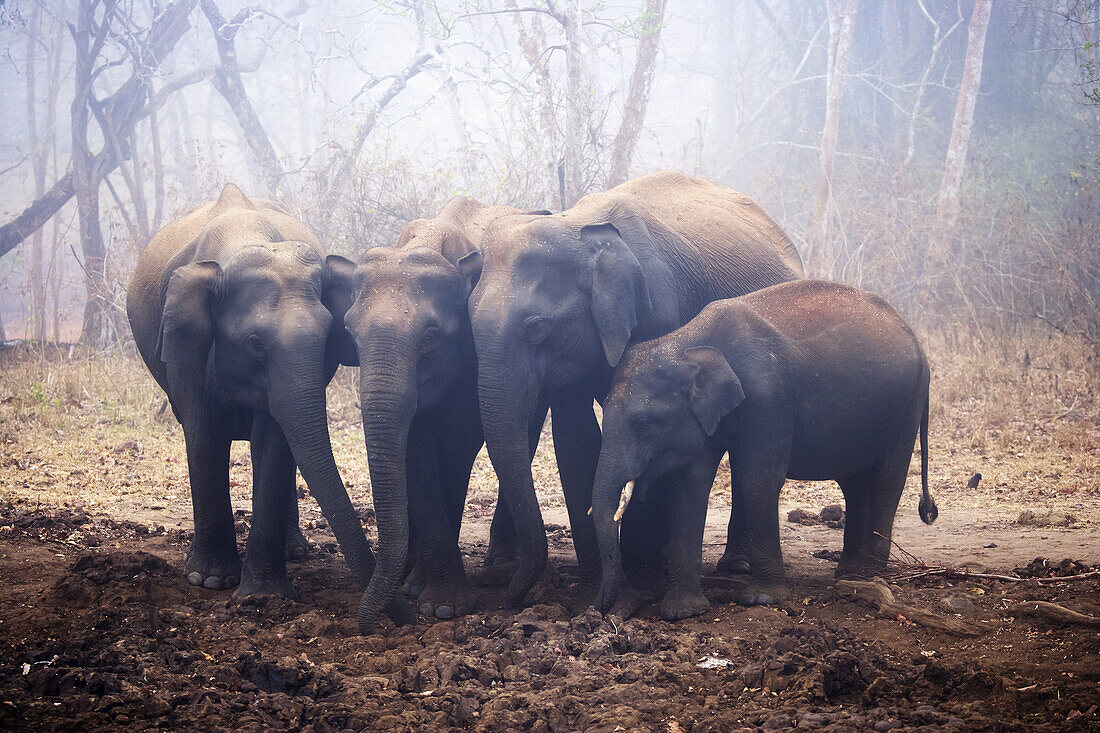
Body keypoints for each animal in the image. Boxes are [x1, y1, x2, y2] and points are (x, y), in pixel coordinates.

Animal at [127, 182, 413, 620]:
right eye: (255, 344)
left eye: (328, 339)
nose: (403, 617)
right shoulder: (186, 347)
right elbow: (203, 435)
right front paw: (209, 581)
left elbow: (276, 443)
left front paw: (263, 596)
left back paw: (295, 551)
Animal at [343, 197, 550, 629]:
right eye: (349, 334)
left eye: (430, 337)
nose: (380, 624)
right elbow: (417, 455)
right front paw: (429, 600)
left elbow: (456, 450)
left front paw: (442, 608)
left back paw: (499, 568)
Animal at [459, 168, 805, 607]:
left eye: (536, 328)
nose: (513, 597)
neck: (577, 227)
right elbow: (576, 440)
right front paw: (592, 595)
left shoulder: (663, 311)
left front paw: (642, 588)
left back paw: (735, 566)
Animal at [594, 278, 937, 616]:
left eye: (643, 423)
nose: (602, 610)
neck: (689, 343)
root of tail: (914, 338)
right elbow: (690, 484)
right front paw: (684, 612)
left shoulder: (767, 398)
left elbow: (757, 479)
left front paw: (762, 599)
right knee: (855, 483)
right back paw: (849, 574)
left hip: (907, 405)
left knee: (886, 479)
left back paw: (868, 576)